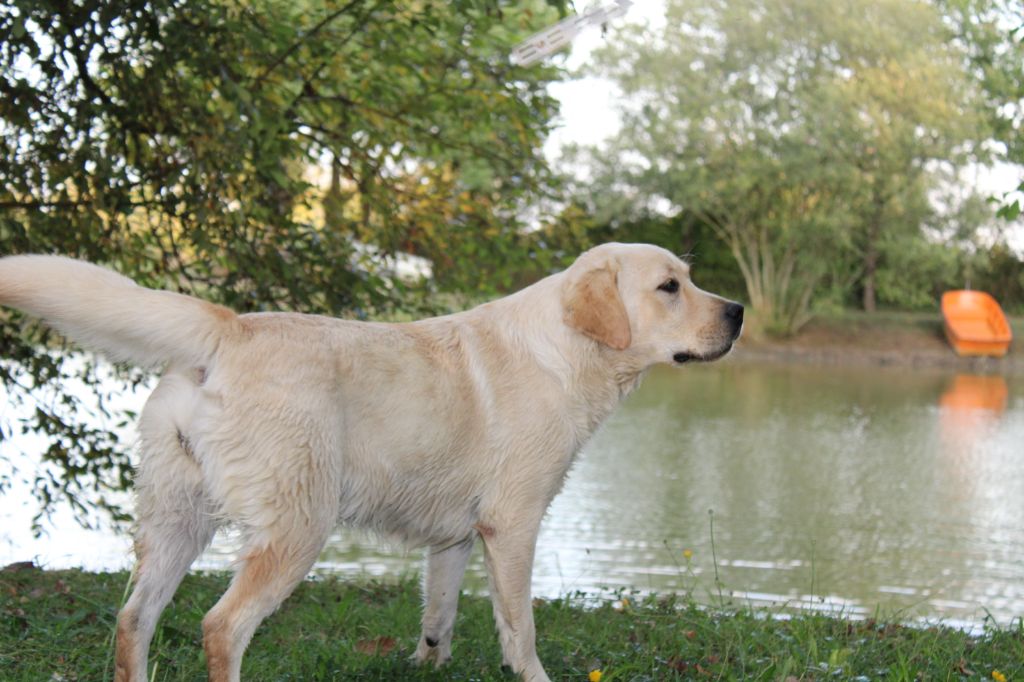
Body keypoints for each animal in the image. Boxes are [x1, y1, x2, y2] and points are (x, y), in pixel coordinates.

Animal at [0, 241, 741, 675]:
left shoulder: (455, 540)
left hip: (176, 523)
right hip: (298, 527)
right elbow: (520, 629)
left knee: (134, 620)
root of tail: (230, 327)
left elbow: (439, 619)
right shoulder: (514, 525)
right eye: (669, 287)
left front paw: (426, 667)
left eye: (690, 280)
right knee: (221, 627)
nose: (737, 311)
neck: (566, 349)